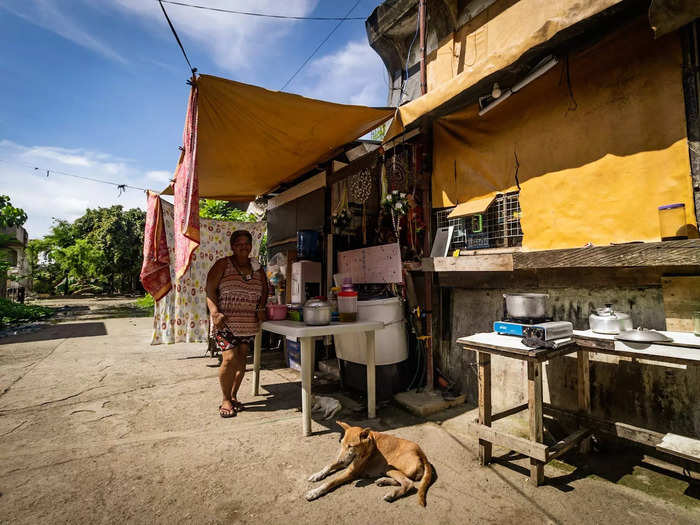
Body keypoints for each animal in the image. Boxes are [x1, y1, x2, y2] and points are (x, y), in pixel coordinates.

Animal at [304, 422, 432, 504]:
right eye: (341, 443)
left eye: (351, 446)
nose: (340, 460)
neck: (369, 442)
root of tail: (421, 453)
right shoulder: (345, 462)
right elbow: (328, 465)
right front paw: (317, 475)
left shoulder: (351, 472)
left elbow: (330, 482)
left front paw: (314, 492)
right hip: (388, 469)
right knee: (404, 480)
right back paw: (382, 481)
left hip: (390, 467)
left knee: (408, 483)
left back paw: (391, 495)